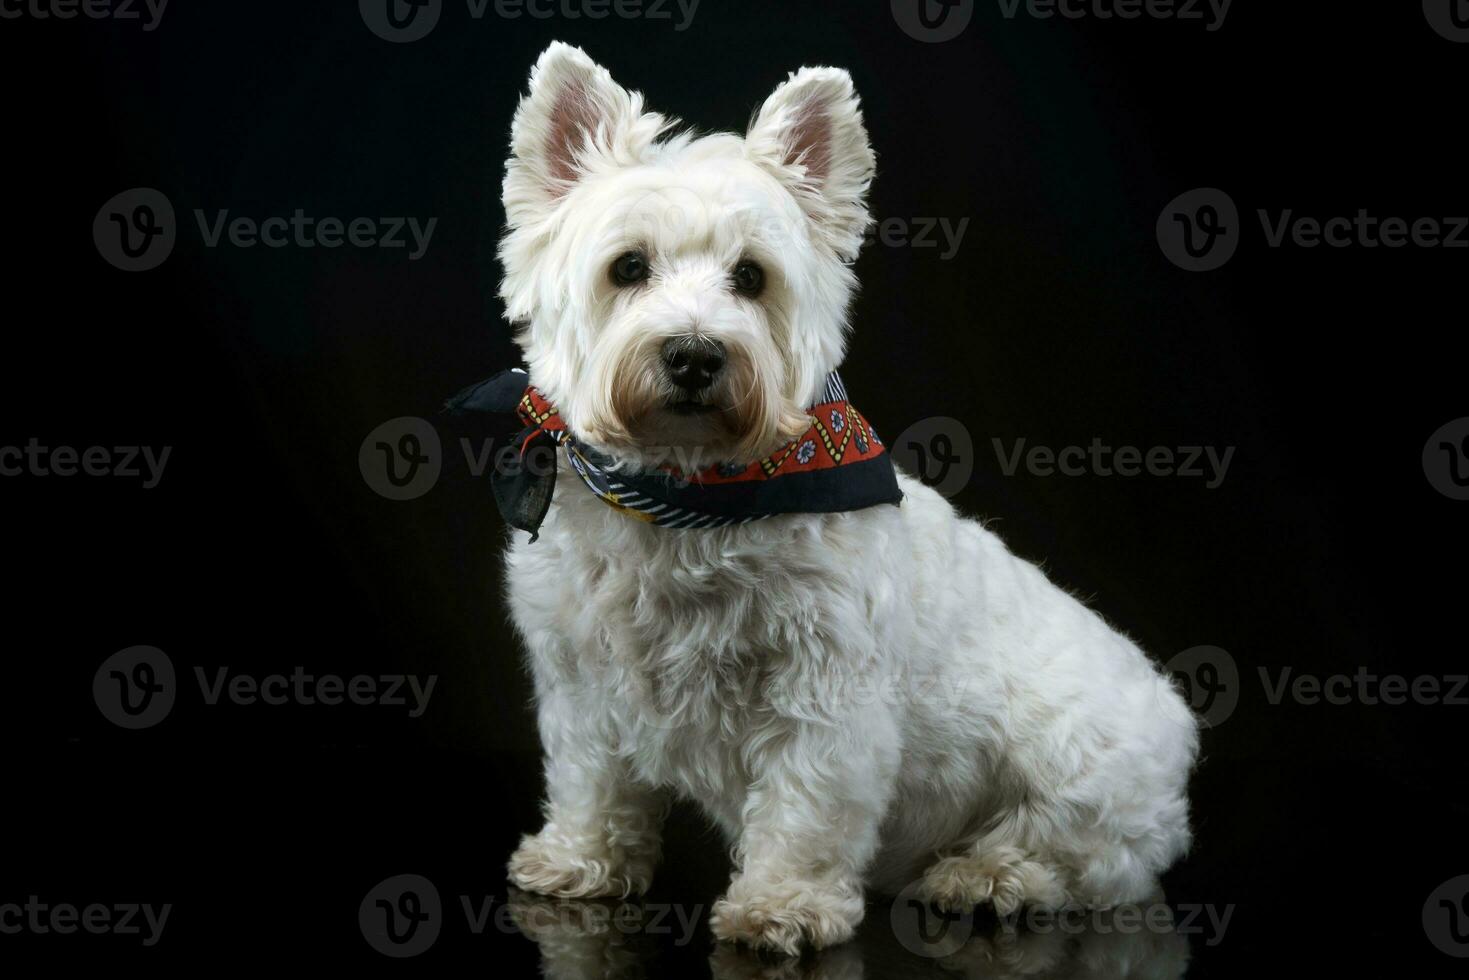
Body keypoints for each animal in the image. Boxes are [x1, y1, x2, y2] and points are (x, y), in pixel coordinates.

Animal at [499, 42, 1198, 952]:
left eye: (750, 277)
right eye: (628, 268)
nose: (694, 355)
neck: (685, 497)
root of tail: (1179, 731)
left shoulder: (826, 696)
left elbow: (808, 807)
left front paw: (783, 905)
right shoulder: (581, 679)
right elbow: (592, 781)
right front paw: (579, 862)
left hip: (1079, 758)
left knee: (1085, 858)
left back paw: (985, 876)